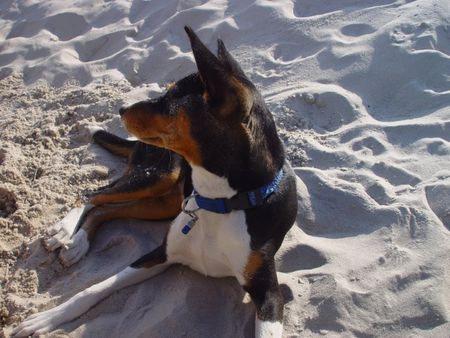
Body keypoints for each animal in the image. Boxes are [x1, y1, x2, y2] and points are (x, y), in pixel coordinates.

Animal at [11, 27, 298, 338]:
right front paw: (48, 317)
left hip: (164, 201)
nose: (121, 108)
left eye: (171, 100)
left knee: (105, 207)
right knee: (94, 194)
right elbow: (91, 290)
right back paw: (66, 234)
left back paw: (76, 242)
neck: (221, 201)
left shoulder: (268, 294)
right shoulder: (160, 253)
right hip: (158, 175)